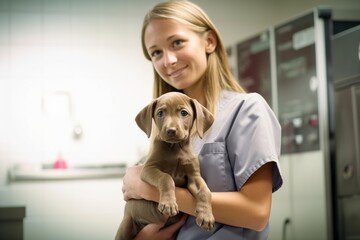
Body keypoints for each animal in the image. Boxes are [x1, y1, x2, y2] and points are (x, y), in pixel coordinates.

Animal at [116, 92, 215, 240]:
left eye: (184, 113)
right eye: (160, 113)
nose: (171, 130)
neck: (175, 148)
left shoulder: (194, 176)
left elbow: (205, 191)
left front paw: (206, 216)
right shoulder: (148, 169)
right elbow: (166, 178)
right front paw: (168, 203)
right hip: (126, 224)